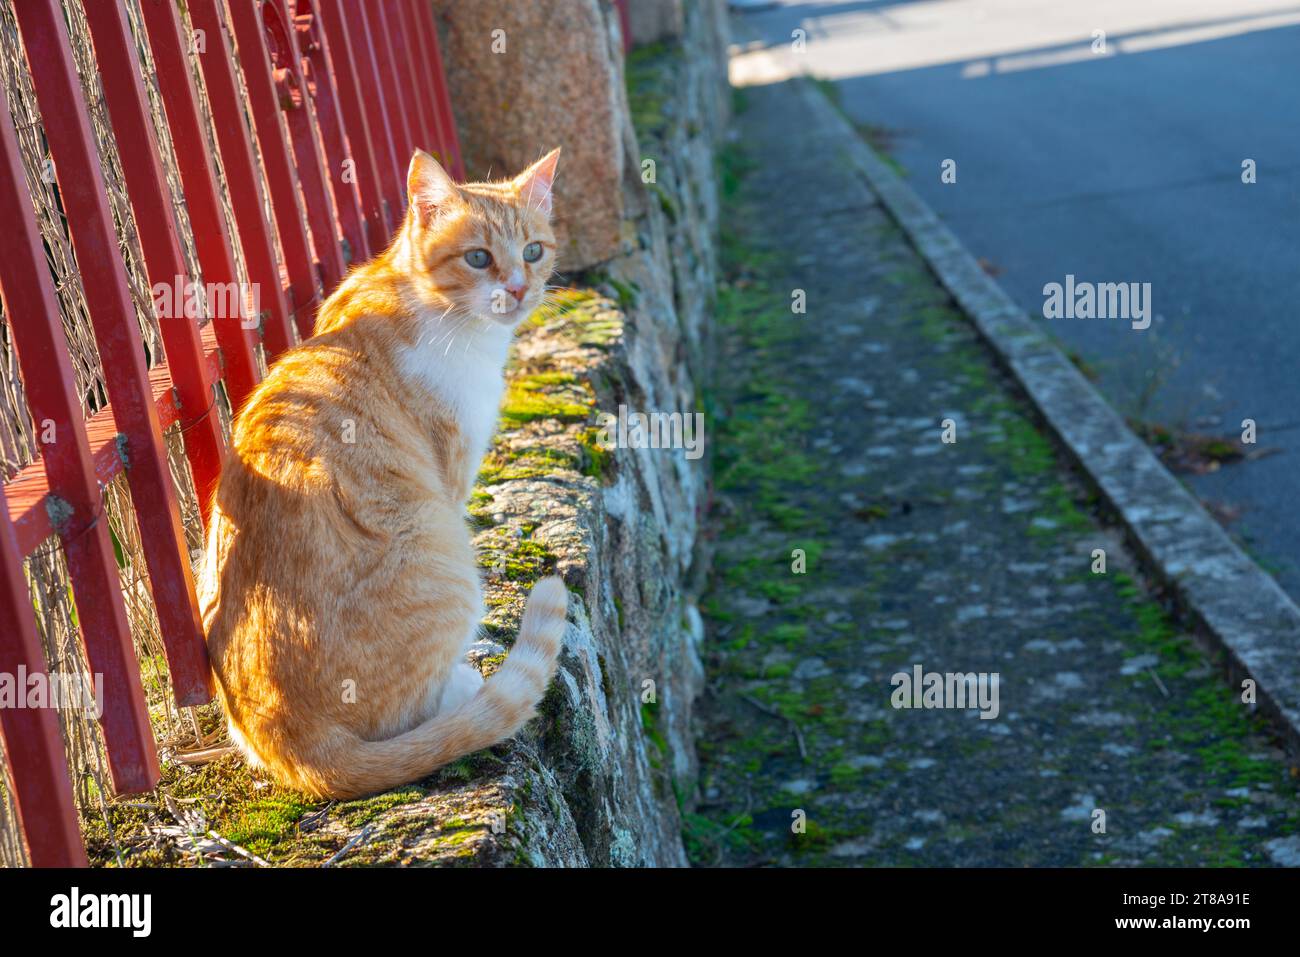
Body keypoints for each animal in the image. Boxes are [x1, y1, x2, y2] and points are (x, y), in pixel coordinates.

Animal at [198, 149, 569, 800]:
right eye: (479, 258)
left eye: (533, 250)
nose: (520, 289)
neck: (422, 298)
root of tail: (301, 752)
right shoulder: (452, 474)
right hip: (439, 545)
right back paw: (464, 685)